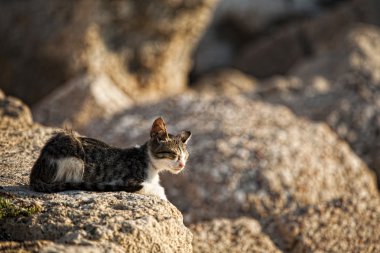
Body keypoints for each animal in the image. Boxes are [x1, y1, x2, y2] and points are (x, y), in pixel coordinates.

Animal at [29, 117, 193, 201]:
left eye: (185, 157)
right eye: (173, 154)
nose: (182, 165)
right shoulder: (129, 181)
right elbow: (157, 190)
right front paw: (162, 195)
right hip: (74, 159)